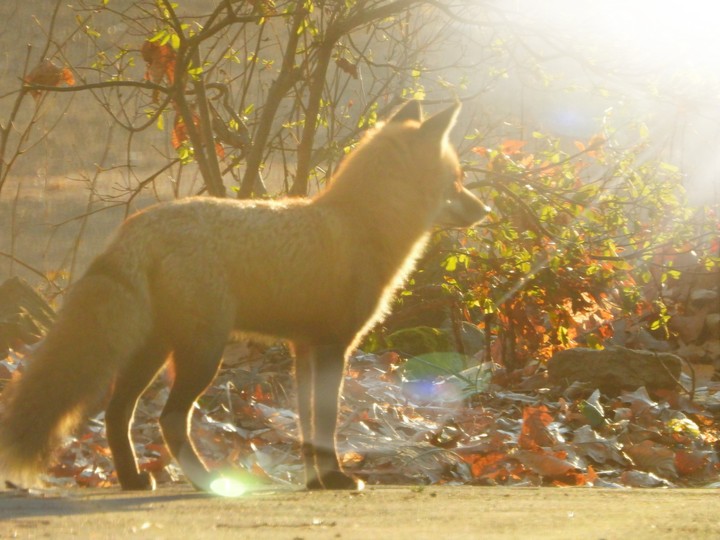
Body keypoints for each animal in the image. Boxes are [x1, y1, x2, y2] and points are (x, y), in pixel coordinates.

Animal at [0, 100, 486, 492]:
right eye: (457, 179)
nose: (486, 210)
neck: (358, 227)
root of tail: (137, 226)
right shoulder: (334, 346)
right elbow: (326, 423)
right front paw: (335, 478)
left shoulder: (303, 348)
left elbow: (308, 426)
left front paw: (317, 482)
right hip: (203, 354)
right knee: (169, 418)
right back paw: (204, 481)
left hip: (154, 351)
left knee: (118, 413)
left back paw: (133, 479)